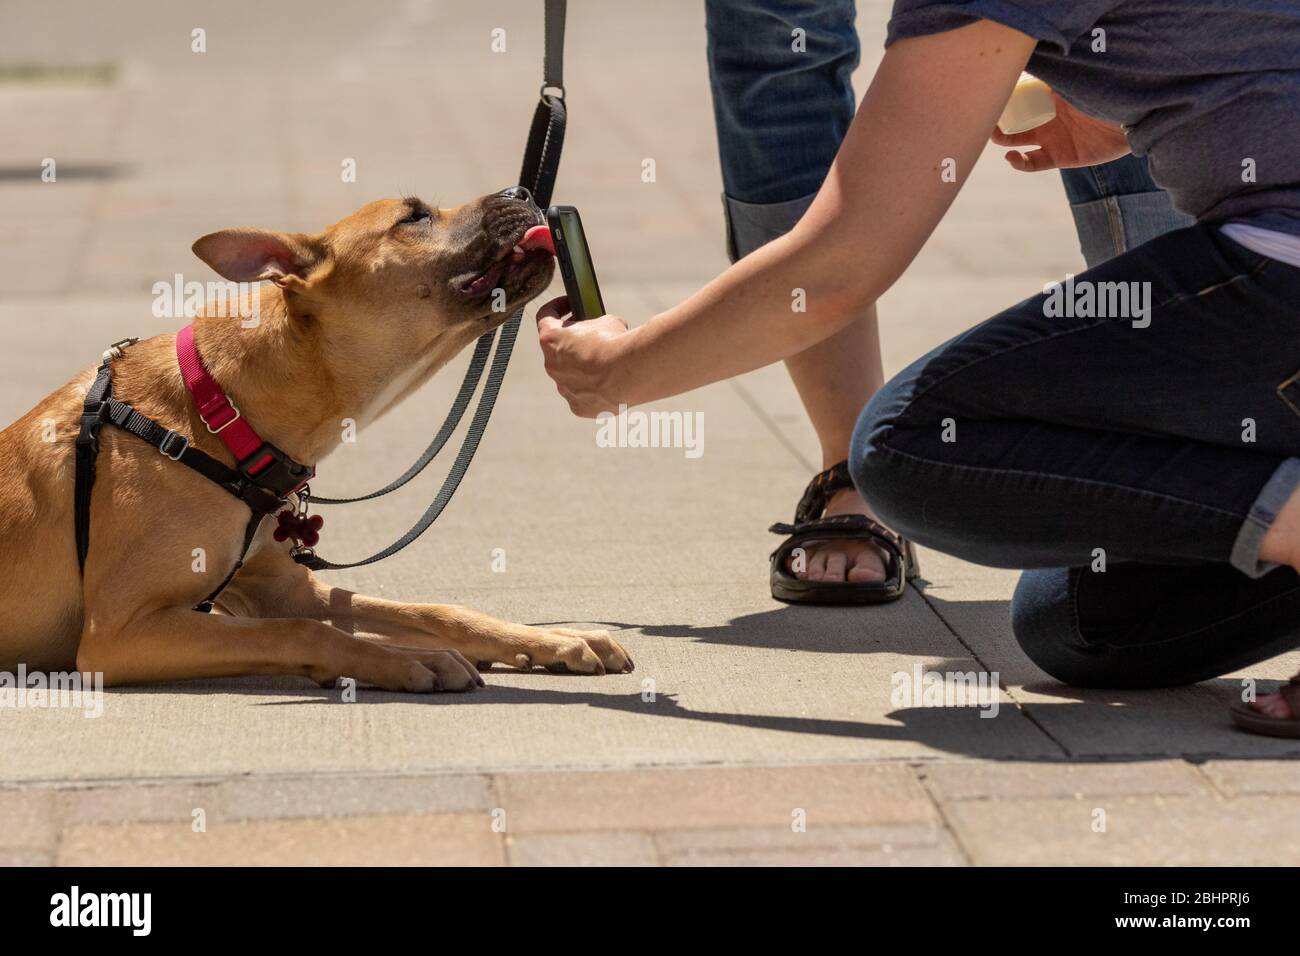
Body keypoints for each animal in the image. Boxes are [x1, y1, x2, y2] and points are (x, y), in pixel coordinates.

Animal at [0, 191, 634, 691]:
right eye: (414, 216)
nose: (523, 191)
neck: (219, 414)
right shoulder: (117, 634)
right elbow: (306, 632)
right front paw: (406, 660)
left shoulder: (285, 589)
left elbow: (434, 610)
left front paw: (549, 638)